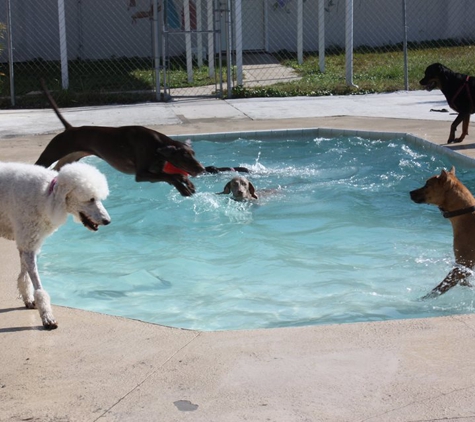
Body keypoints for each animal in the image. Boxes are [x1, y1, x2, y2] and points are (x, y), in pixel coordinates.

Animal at [33, 80, 205, 196]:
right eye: (185, 156)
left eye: (193, 154)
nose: (202, 169)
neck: (156, 146)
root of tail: (70, 129)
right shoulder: (141, 175)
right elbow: (170, 176)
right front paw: (183, 187)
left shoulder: (153, 172)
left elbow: (173, 175)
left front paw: (187, 184)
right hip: (51, 153)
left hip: (69, 159)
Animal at [410, 166, 475, 298]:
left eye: (427, 185)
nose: (410, 192)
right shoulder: (464, 268)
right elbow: (464, 282)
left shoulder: (463, 264)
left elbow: (439, 288)